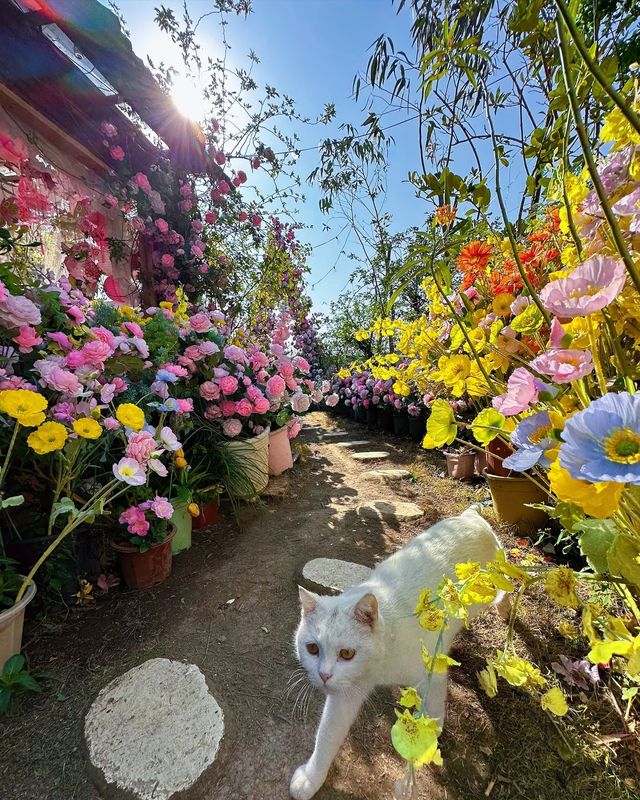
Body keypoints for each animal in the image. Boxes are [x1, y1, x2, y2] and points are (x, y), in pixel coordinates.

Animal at [292, 510, 510, 796]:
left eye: (347, 654)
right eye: (312, 649)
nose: (324, 675)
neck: (381, 661)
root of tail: (470, 515)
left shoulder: (433, 674)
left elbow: (434, 712)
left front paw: (425, 742)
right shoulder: (345, 694)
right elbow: (327, 735)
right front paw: (311, 778)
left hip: (492, 587)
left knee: (507, 589)